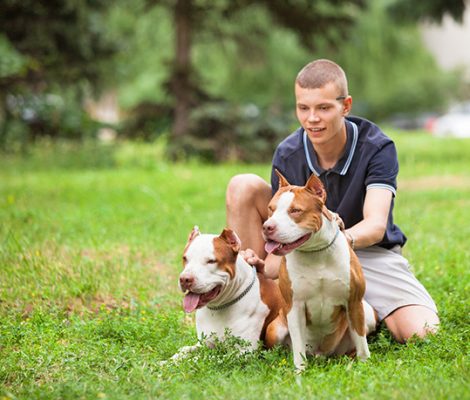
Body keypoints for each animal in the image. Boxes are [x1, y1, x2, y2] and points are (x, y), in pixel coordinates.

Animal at [173, 225, 288, 360]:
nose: (185, 279)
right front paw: (164, 362)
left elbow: (205, 358)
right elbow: (183, 351)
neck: (218, 307)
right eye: (185, 258)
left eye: (211, 261)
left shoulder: (244, 352)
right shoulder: (204, 343)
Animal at [264, 170, 378, 370]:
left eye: (295, 211)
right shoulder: (294, 306)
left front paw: (364, 365)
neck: (315, 253)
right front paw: (299, 371)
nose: (267, 227)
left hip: (368, 313)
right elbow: (298, 347)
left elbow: (362, 343)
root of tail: (320, 354)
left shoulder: (354, 302)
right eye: (271, 209)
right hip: (274, 328)